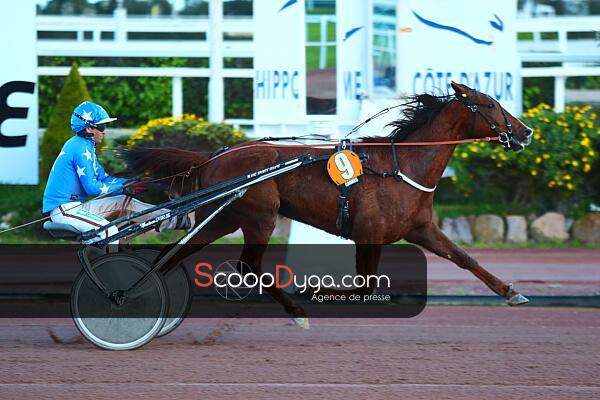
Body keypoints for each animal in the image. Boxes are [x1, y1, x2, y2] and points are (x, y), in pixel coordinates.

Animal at [124, 82, 533, 325]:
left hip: (222, 217)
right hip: (260, 216)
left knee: (176, 255)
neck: (402, 165)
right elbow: (365, 286)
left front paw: (511, 292)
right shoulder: (369, 233)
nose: (526, 132)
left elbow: (465, 258)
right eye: (490, 105)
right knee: (249, 266)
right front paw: (315, 293)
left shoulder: (422, 229)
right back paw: (296, 310)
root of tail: (213, 156)